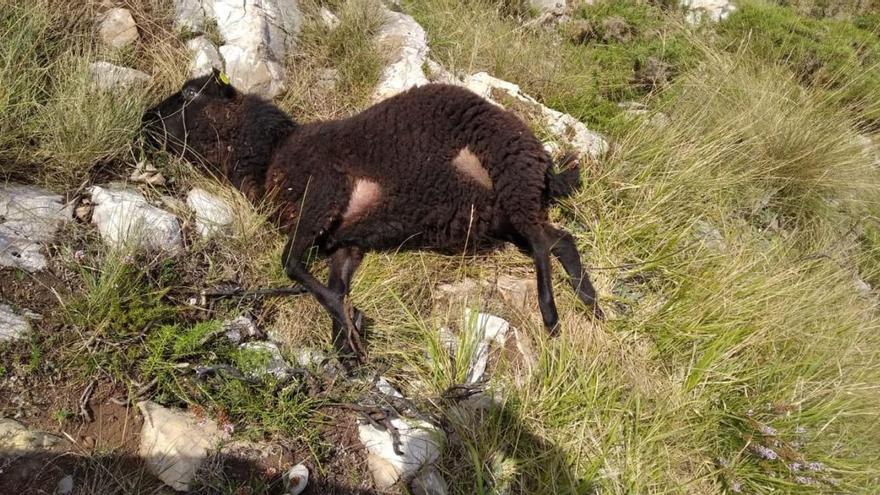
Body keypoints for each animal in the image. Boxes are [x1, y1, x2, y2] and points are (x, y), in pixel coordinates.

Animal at [143, 70, 604, 364]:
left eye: (189, 94)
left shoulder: (323, 194)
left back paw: (551, 315)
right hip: (502, 213)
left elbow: (290, 264)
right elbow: (331, 286)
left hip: (510, 174)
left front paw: (349, 327)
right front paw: (347, 340)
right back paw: (591, 303)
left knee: (542, 243)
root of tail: (541, 160)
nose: (145, 121)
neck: (270, 152)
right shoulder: (345, 242)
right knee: (559, 238)